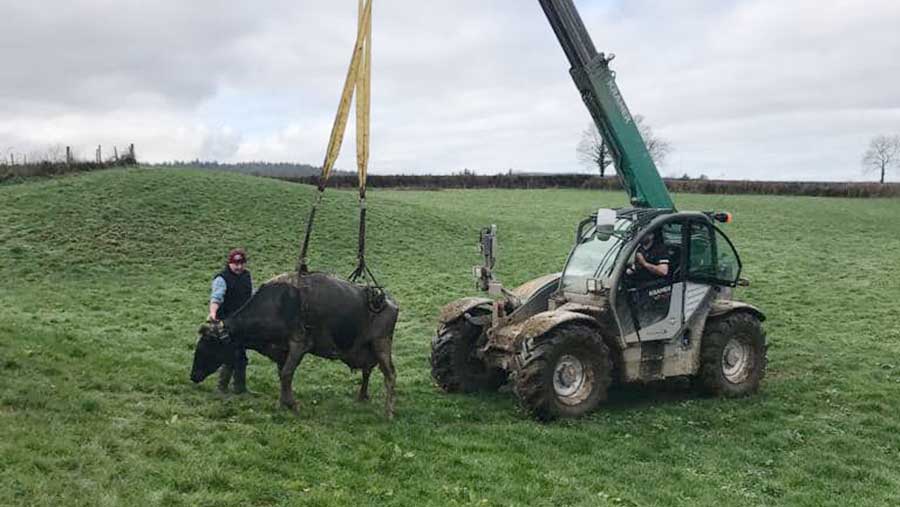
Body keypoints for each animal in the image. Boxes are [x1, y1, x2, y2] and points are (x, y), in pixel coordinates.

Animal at [190, 274, 398, 420]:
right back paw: (362, 397)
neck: (276, 305)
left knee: (390, 375)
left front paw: (291, 404)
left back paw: (389, 412)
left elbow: (286, 373)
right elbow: (282, 375)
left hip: (381, 343)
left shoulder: (300, 343)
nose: (193, 376)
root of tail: (385, 299)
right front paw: (283, 403)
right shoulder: (281, 351)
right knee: (367, 371)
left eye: (206, 346)